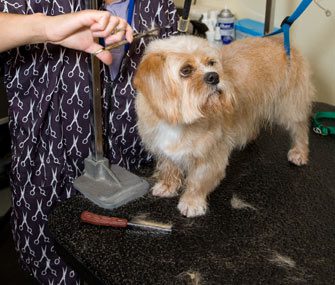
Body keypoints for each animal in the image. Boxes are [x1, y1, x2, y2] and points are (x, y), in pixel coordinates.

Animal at [133, 34, 316, 216]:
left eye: (211, 63)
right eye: (186, 70)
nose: (214, 76)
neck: (180, 121)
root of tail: (283, 42)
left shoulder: (210, 156)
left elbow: (198, 181)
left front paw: (192, 202)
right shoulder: (162, 149)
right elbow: (168, 167)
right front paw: (167, 185)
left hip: (290, 107)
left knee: (300, 129)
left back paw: (299, 152)